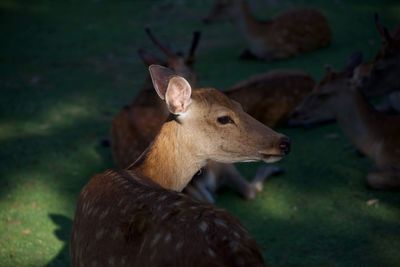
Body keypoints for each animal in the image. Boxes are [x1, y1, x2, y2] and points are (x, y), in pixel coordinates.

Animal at [203, 0, 332, 60]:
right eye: (214, 2)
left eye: (223, 4)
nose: (206, 19)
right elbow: (241, 53)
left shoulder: (289, 49)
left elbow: (268, 57)